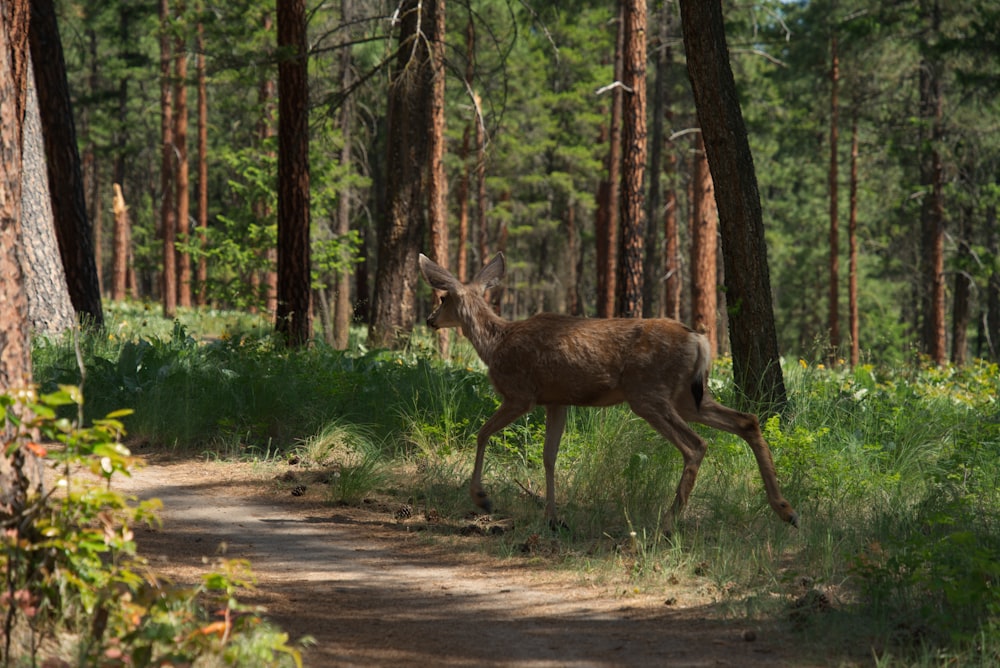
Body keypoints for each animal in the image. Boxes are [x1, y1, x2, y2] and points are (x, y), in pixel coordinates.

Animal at [418, 253, 800, 536]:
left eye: (442, 298)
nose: (429, 319)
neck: (495, 345)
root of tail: (699, 340)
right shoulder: (556, 400)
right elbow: (549, 456)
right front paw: (553, 518)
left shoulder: (520, 394)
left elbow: (482, 433)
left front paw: (482, 498)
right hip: (689, 396)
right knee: (747, 420)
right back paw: (786, 510)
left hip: (648, 393)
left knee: (696, 444)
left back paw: (668, 523)